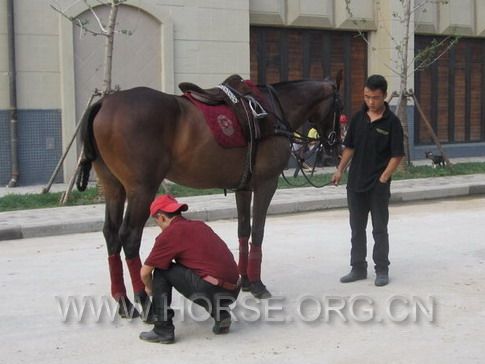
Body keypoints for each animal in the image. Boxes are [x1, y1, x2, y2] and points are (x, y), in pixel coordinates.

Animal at [75, 74, 342, 318]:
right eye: (338, 107)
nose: (334, 144)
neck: (272, 110)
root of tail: (105, 103)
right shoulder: (266, 184)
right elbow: (258, 232)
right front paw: (257, 284)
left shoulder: (244, 188)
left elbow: (244, 231)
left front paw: (245, 280)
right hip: (141, 189)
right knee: (129, 237)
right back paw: (144, 301)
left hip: (114, 187)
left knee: (111, 234)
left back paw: (124, 302)